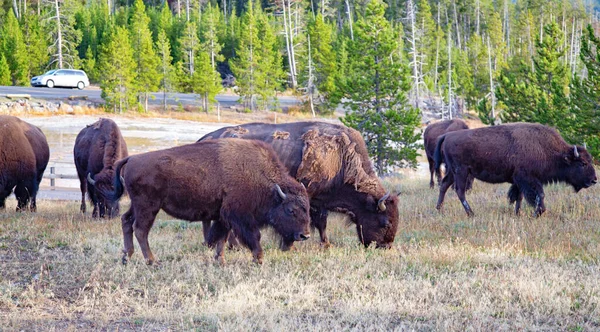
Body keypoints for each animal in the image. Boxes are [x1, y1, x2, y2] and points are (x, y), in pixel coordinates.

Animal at [101, 139, 310, 266]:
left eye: (307, 209)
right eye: (291, 210)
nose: (305, 235)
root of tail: (132, 158)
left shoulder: (224, 217)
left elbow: (222, 239)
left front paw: (220, 261)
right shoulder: (240, 217)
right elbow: (253, 237)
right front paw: (258, 259)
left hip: (137, 205)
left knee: (126, 221)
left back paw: (126, 257)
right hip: (148, 207)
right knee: (140, 230)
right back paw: (152, 261)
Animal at [199, 120, 400, 248]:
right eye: (385, 223)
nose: (386, 246)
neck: (340, 159)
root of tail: (205, 137)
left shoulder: (320, 201)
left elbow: (321, 224)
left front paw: (325, 244)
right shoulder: (310, 197)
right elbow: (316, 221)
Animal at [434, 123, 596, 217]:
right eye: (582, 163)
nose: (594, 180)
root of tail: (447, 135)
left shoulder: (519, 181)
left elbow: (519, 196)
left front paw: (518, 213)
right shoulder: (528, 179)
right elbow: (540, 195)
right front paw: (537, 213)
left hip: (452, 172)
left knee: (444, 186)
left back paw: (439, 209)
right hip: (461, 171)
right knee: (459, 191)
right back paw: (471, 213)